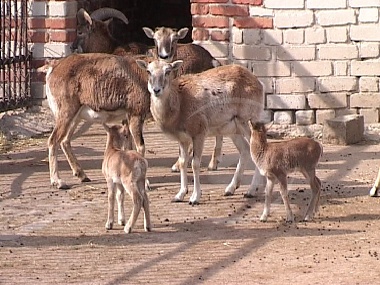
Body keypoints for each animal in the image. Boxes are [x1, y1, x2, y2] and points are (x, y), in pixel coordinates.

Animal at [137, 58, 264, 204]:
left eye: (168, 71)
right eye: (148, 71)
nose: (156, 90)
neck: (180, 104)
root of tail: (257, 82)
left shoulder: (198, 133)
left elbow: (195, 164)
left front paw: (194, 197)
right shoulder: (183, 139)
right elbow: (182, 163)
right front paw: (179, 195)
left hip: (248, 120)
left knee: (256, 148)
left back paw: (250, 191)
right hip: (232, 128)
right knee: (245, 149)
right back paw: (230, 189)